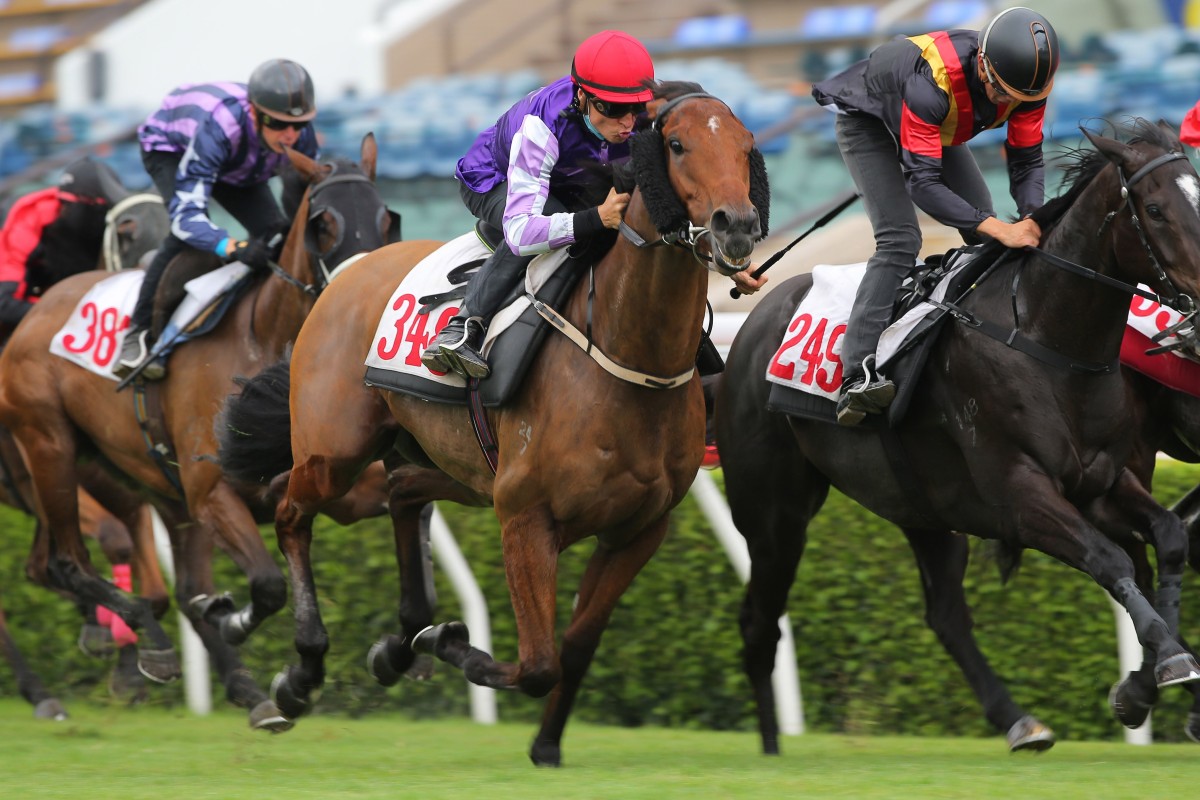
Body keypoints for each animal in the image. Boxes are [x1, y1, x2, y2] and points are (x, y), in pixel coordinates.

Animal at [0, 137, 388, 734]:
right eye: (324, 223)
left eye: (387, 217)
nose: (363, 294)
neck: (263, 340)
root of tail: (38, 311)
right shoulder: (211, 493)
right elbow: (267, 585)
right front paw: (233, 626)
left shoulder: (331, 488)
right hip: (51, 449)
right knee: (70, 562)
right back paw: (139, 650)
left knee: (83, 569)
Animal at [219, 79, 768, 762]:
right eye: (677, 144)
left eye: (746, 146)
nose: (737, 225)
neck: (625, 352)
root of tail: (345, 274)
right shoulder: (526, 517)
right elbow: (537, 663)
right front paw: (448, 642)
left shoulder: (637, 529)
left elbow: (575, 648)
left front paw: (545, 745)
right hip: (333, 452)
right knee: (293, 517)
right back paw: (300, 672)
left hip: (451, 464)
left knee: (403, 494)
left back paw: (396, 645)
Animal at [710, 120, 1200, 758]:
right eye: (1158, 209)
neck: (1046, 339)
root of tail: (745, 334)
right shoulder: (1021, 496)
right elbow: (1110, 557)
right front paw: (1164, 663)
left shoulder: (1104, 481)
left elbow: (1168, 536)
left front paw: (1154, 677)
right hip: (775, 513)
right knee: (759, 619)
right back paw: (771, 747)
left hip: (922, 508)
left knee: (944, 614)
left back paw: (1019, 721)